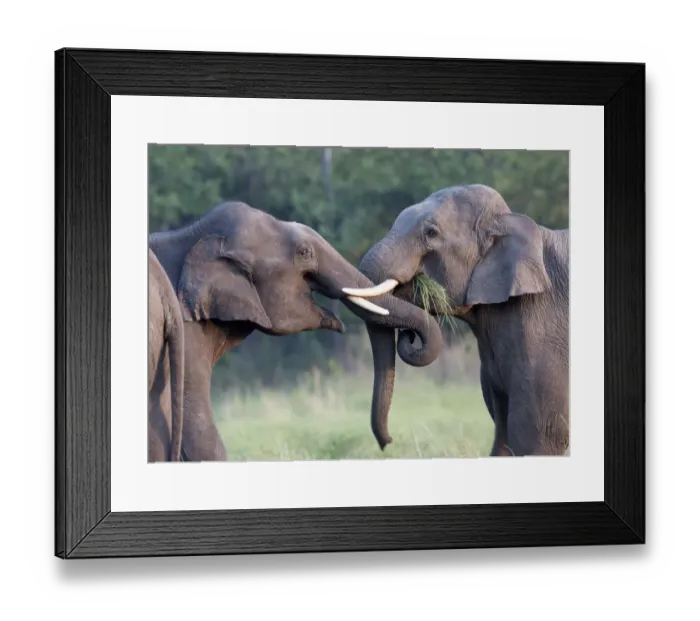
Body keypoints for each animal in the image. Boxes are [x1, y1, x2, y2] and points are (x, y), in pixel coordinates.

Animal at [352, 184, 570, 457]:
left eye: (431, 233)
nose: (387, 442)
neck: (507, 220)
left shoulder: (543, 338)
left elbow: (537, 437)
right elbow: (502, 437)